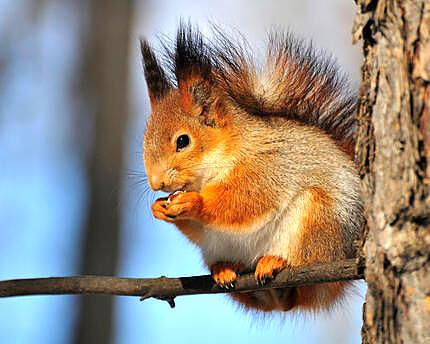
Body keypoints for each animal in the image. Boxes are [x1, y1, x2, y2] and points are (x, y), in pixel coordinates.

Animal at [140, 24, 362, 314]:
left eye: (182, 141)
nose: (156, 183)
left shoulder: (266, 166)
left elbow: (247, 200)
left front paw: (194, 202)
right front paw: (158, 208)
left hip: (318, 220)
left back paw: (277, 262)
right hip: (217, 247)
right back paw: (226, 269)